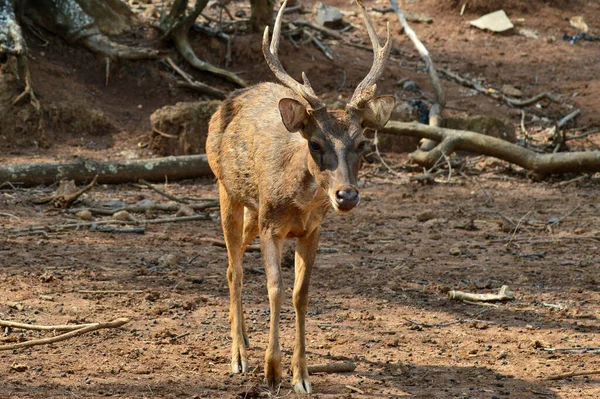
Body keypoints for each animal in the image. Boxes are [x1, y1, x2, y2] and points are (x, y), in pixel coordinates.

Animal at [206, 0, 394, 394]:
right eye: (316, 143)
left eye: (362, 144)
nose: (346, 195)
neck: (299, 202)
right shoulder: (271, 227)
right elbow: (275, 288)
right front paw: (271, 370)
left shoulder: (311, 231)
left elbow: (300, 294)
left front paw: (302, 376)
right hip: (226, 189)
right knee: (234, 267)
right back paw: (239, 355)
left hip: (253, 210)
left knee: (237, 258)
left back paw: (245, 340)